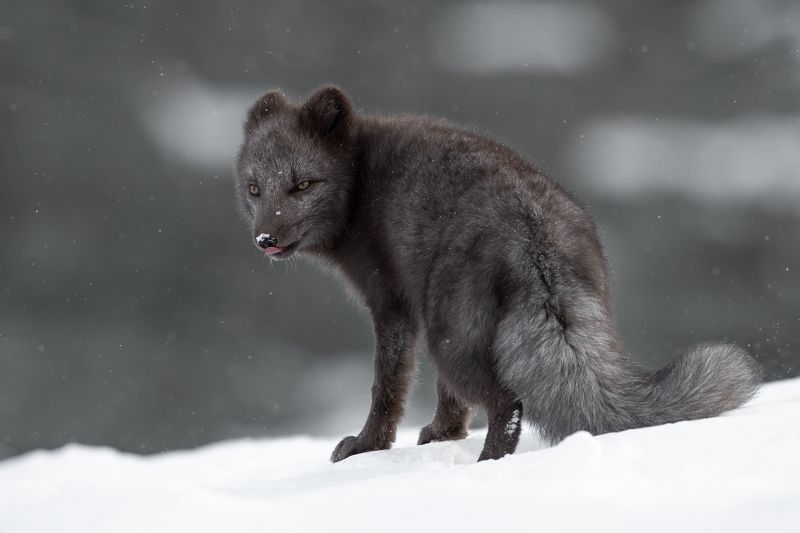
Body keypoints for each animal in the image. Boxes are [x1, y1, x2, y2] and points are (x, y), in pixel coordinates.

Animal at [235, 86, 761, 462]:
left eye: (303, 184)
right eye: (255, 189)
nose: (265, 239)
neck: (360, 183)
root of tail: (532, 229)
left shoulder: (392, 304)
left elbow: (387, 384)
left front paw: (367, 446)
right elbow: (445, 401)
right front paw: (443, 435)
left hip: (449, 336)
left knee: (508, 404)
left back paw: (489, 466)